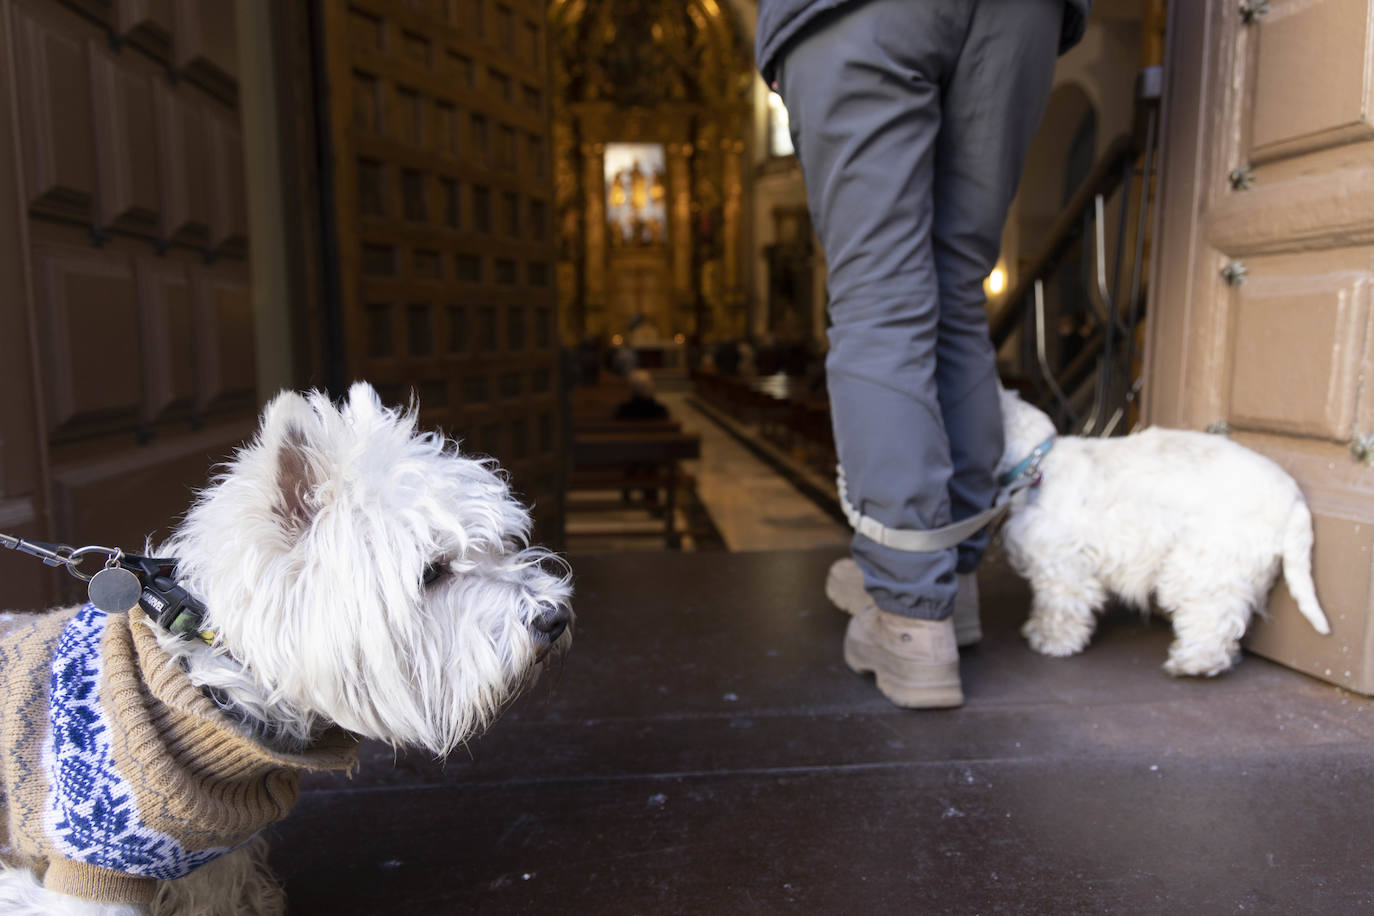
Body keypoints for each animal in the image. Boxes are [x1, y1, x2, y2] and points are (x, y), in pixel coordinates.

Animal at [0, 381, 571, 916]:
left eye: (500, 545)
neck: (206, 677)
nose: (555, 618)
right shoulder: (88, 874)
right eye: (432, 572)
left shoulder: (207, 869)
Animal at [1000, 390, 1330, 678]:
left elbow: (1058, 606)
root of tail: (1293, 496)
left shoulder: (1061, 564)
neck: (1037, 462)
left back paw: (1193, 663)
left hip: (1203, 567)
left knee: (1214, 617)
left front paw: (1052, 641)